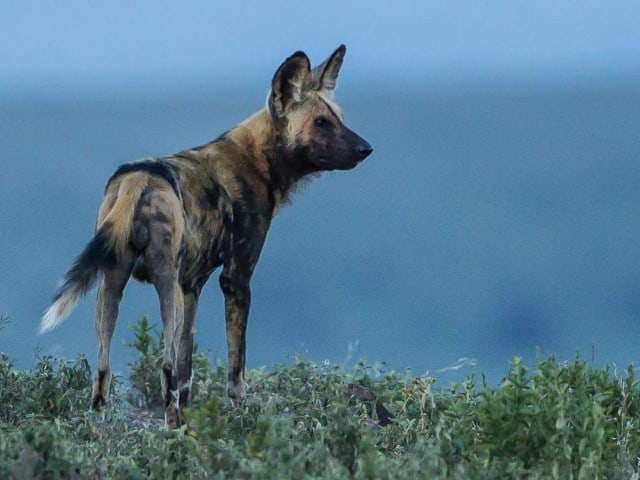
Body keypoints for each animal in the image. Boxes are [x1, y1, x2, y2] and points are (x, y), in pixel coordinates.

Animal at [40, 46, 372, 428]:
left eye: (339, 117)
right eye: (321, 122)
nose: (366, 148)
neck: (258, 159)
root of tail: (140, 179)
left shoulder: (192, 287)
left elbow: (187, 373)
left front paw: (191, 419)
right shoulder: (235, 279)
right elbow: (235, 368)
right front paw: (240, 416)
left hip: (113, 286)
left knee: (103, 370)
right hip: (165, 286)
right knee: (164, 365)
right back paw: (171, 426)